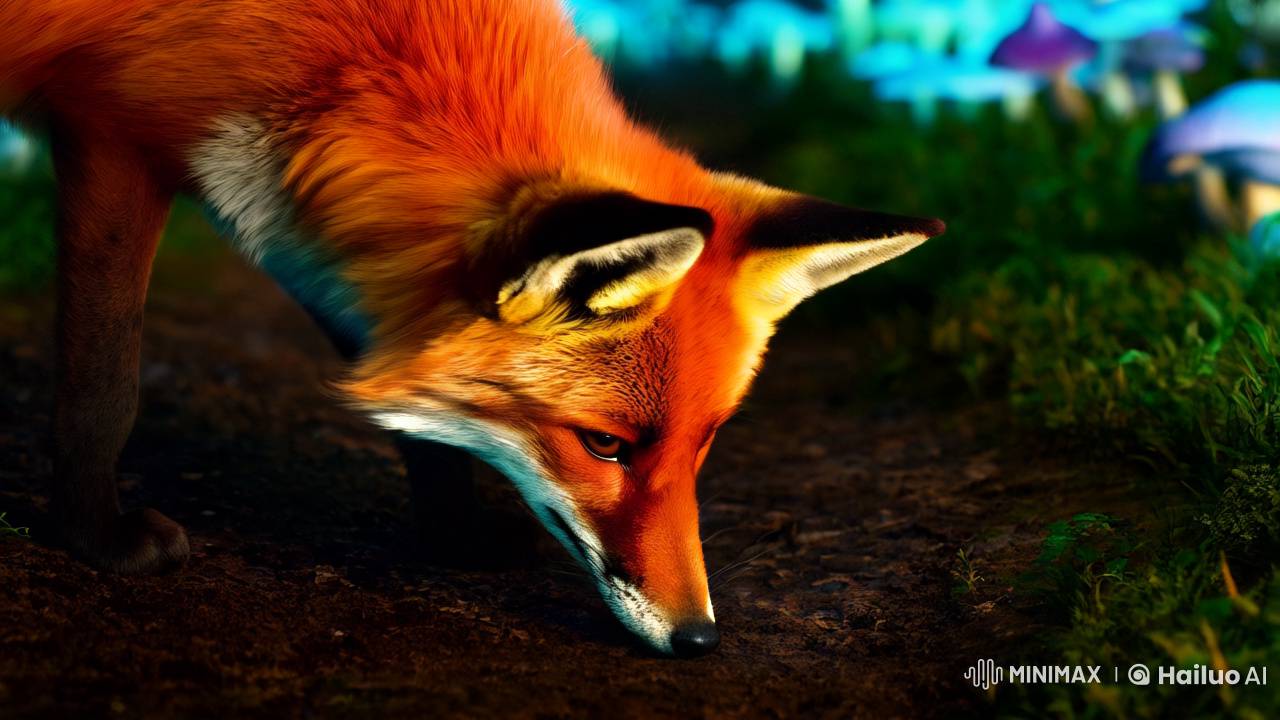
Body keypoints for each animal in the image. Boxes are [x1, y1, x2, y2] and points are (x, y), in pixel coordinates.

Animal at [1, 0, 943, 656]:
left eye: (703, 444)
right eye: (604, 446)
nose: (697, 638)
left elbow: (414, 409)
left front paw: (451, 534)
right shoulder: (112, 134)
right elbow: (105, 381)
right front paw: (94, 537)